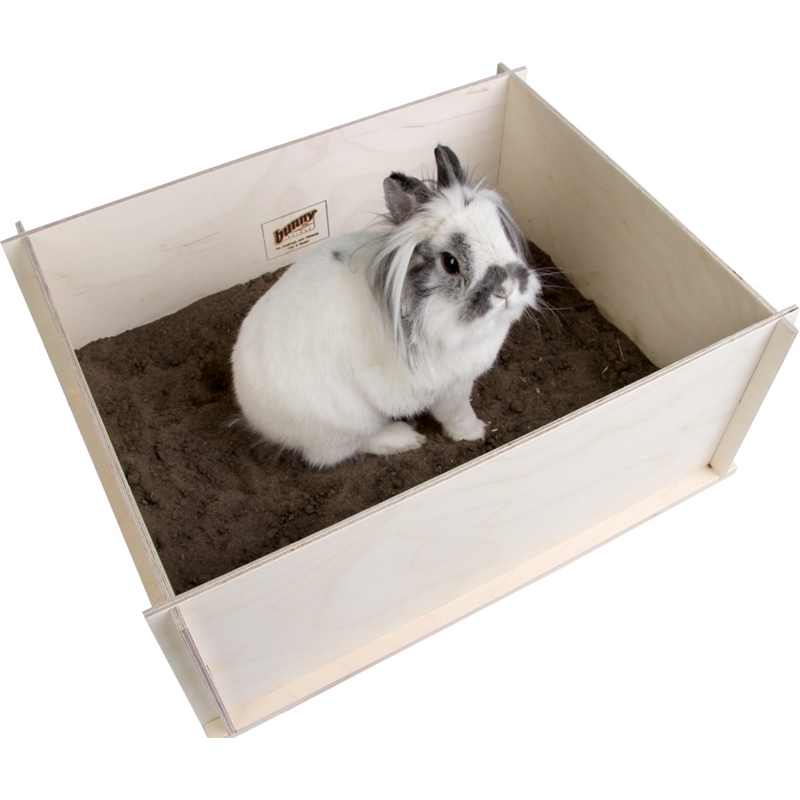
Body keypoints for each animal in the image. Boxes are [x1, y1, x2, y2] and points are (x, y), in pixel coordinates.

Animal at [231, 145, 542, 468]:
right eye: (450, 262)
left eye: (500, 232)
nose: (507, 289)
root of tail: (251, 409)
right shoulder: (450, 389)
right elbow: (457, 414)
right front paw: (475, 432)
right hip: (347, 424)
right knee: (341, 450)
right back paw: (403, 438)